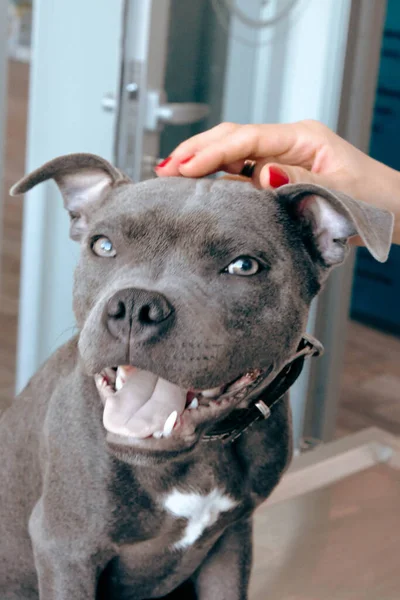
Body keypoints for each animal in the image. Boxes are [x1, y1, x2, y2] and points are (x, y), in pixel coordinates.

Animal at [0, 152, 394, 596]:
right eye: (103, 245)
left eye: (244, 266)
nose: (135, 306)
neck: (200, 453)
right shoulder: (66, 549)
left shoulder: (232, 540)